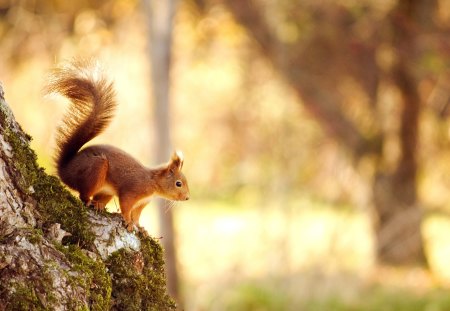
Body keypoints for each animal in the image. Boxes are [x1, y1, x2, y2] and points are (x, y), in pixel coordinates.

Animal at [47, 60, 190, 232]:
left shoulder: (142, 203)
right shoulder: (132, 191)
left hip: (106, 190)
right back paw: (89, 201)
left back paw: (98, 204)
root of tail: (65, 170)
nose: (187, 198)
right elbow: (126, 207)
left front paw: (139, 227)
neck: (153, 183)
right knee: (83, 194)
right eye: (178, 183)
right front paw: (128, 222)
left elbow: (137, 215)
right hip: (96, 169)